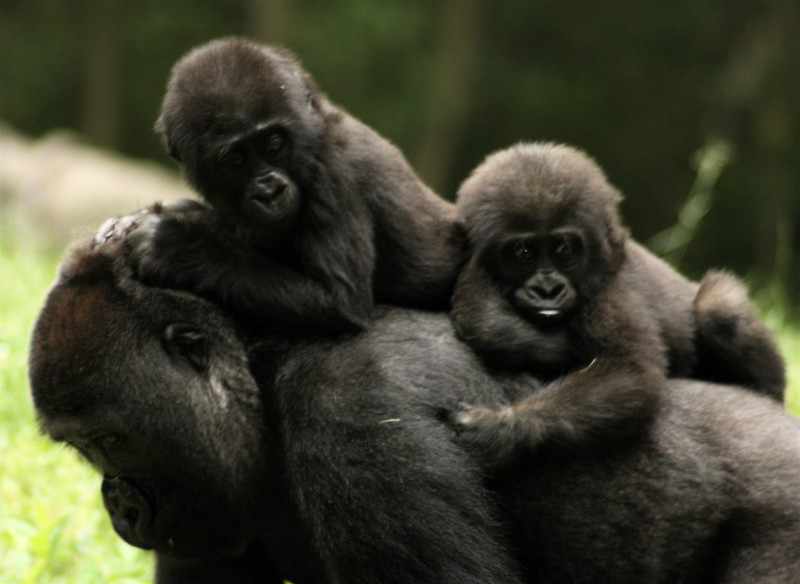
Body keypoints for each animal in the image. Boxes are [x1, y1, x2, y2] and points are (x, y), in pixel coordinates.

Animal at [130, 38, 462, 334]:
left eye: (274, 145)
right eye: (236, 161)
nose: (269, 191)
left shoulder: (334, 170)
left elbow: (338, 301)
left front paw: (178, 249)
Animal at [454, 141, 784, 466]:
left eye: (564, 249)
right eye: (524, 253)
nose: (548, 289)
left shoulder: (610, 293)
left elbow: (630, 372)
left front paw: (505, 426)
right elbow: (483, 321)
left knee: (719, 308)